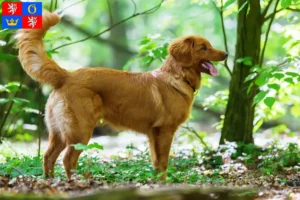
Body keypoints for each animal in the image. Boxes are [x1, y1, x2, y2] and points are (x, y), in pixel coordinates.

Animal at [16, 12, 227, 180]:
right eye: (203, 48)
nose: (226, 53)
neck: (178, 76)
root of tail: (67, 75)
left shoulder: (153, 133)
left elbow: (156, 162)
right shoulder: (165, 130)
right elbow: (164, 162)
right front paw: (165, 183)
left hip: (59, 132)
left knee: (48, 156)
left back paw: (50, 181)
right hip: (81, 131)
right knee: (68, 159)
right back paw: (75, 183)